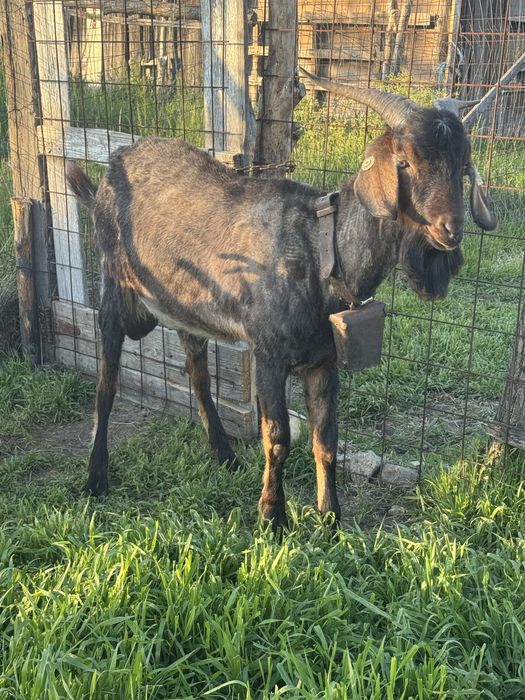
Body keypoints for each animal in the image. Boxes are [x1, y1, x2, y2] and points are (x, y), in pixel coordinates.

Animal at [67, 71, 496, 529]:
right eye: (405, 162)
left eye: (463, 165)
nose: (449, 231)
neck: (322, 253)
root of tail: (111, 169)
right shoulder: (268, 354)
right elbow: (277, 438)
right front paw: (272, 517)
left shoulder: (324, 362)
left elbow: (326, 440)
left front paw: (330, 519)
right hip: (114, 289)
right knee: (106, 383)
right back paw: (95, 477)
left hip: (187, 311)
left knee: (197, 375)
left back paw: (224, 454)